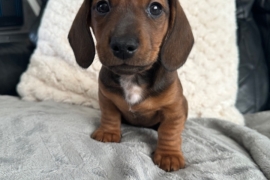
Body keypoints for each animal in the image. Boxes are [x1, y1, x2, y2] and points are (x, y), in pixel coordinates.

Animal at [68, 0, 193, 172]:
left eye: (155, 8)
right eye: (102, 6)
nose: (123, 45)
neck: (133, 78)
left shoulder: (174, 109)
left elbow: (169, 130)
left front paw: (169, 154)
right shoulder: (106, 98)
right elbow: (109, 115)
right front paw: (108, 132)